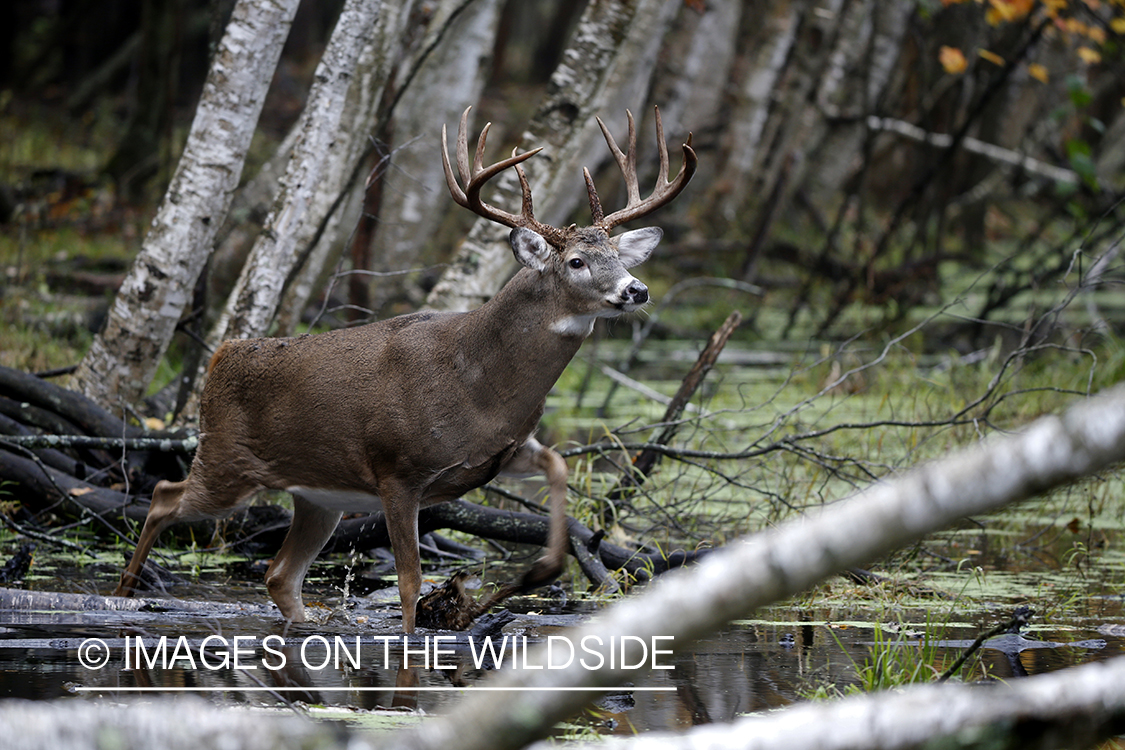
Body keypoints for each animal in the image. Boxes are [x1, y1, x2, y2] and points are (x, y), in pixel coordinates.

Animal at [114, 105, 693, 634]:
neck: (478, 385)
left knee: (279, 575)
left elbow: (557, 464)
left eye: (620, 256)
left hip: (315, 495)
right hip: (226, 461)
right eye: (576, 261)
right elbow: (410, 582)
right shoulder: (397, 468)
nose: (637, 290)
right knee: (163, 497)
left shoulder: (502, 450)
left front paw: (541, 570)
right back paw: (126, 593)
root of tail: (222, 354)